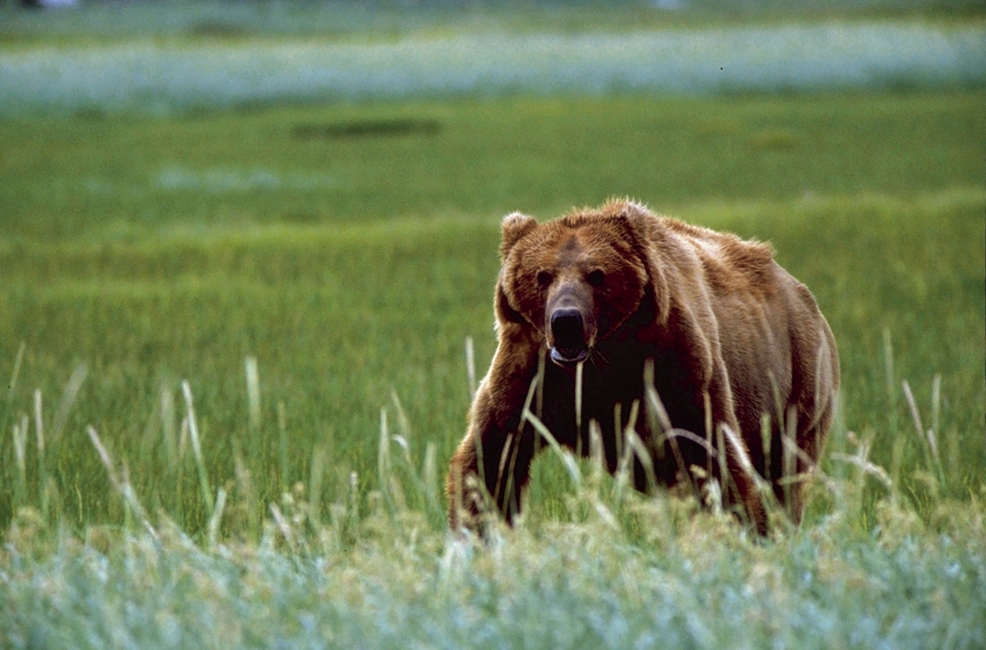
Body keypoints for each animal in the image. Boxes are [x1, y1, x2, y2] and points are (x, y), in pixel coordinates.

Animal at [446, 199, 839, 536]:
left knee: (785, 474)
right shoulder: (530, 371)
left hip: (798, 381)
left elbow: (713, 456)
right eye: (542, 275)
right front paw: (474, 535)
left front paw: (741, 530)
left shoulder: (675, 364)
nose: (566, 321)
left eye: (597, 275)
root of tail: (803, 293)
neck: (602, 356)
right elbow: (490, 456)